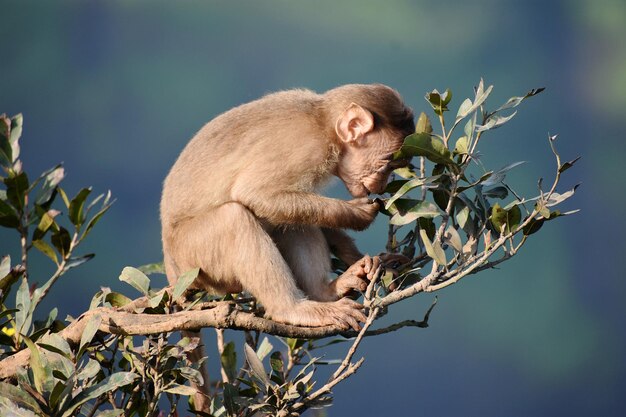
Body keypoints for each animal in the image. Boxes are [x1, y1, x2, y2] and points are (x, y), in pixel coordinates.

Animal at [161, 83, 414, 332]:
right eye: (388, 162)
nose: (382, 184)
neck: (324, 124)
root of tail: (172, 268)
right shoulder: (308, 148)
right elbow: (254, 193)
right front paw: (356, 215)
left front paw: (366, 259)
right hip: (194, 258)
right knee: (234, 217)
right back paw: (292, 308)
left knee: (293, 220)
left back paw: (325, 292)